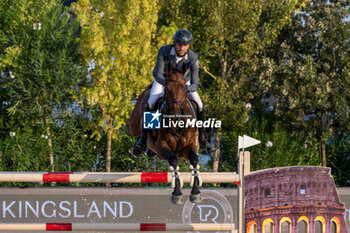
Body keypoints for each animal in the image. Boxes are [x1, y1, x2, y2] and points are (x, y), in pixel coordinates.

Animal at [130, 63, 202, 204]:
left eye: (185, 89)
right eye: (167, 89)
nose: (175, 116)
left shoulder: (187, 147)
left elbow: (194, 160)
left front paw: (195, 192)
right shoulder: (162, 148)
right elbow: (173, 161)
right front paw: (177, 193)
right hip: (134, 125)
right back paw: (139, 146)